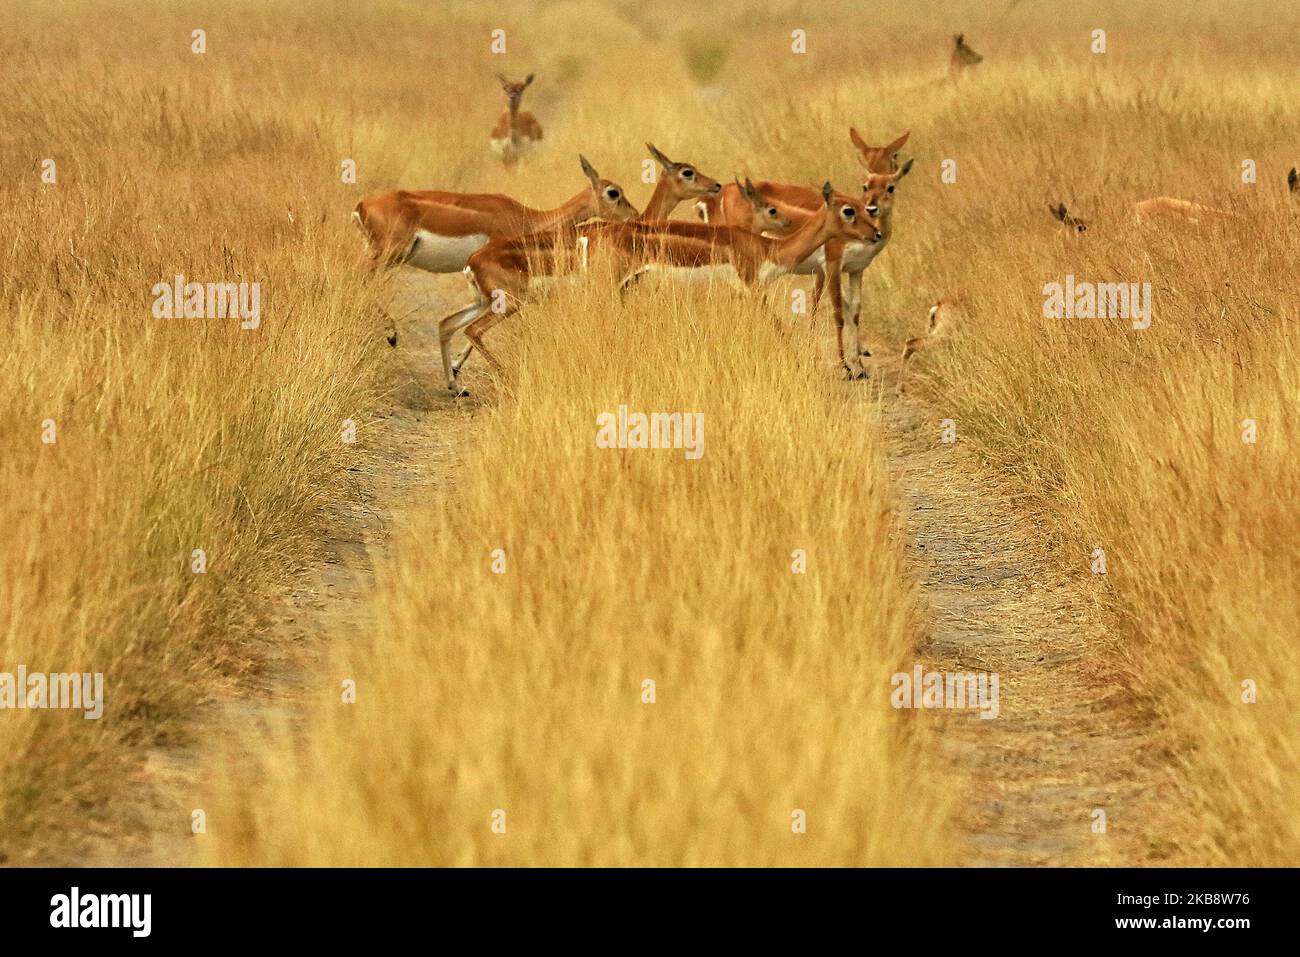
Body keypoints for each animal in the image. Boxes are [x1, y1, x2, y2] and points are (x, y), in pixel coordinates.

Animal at [439, 183, 883, 392]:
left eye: (867, 207)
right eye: (849, 210)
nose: (876, 233)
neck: (767, 249)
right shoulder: (751, 290)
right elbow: (780, 330)